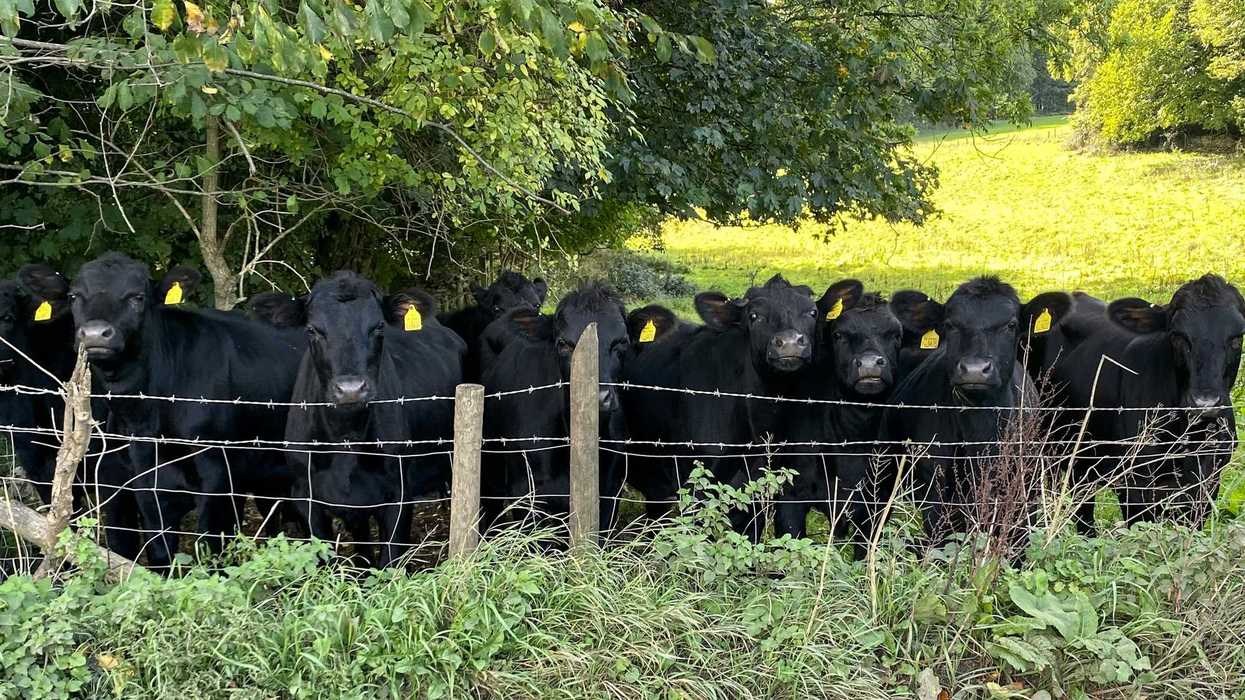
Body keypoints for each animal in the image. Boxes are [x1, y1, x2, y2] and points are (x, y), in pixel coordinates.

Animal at [26, 252, 307, 569]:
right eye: (74, 296)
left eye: (137, 297)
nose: (96, 334)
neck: (149, 419)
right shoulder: (142, 483)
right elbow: (158, 551)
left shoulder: (216, 478)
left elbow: (208, 549)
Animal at [250, 273, 463, 567]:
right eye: (312, 330)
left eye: (379, 327)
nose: (350, 388)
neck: (345, 438)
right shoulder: (305, 496)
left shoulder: (398, 496)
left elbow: (388, 564)